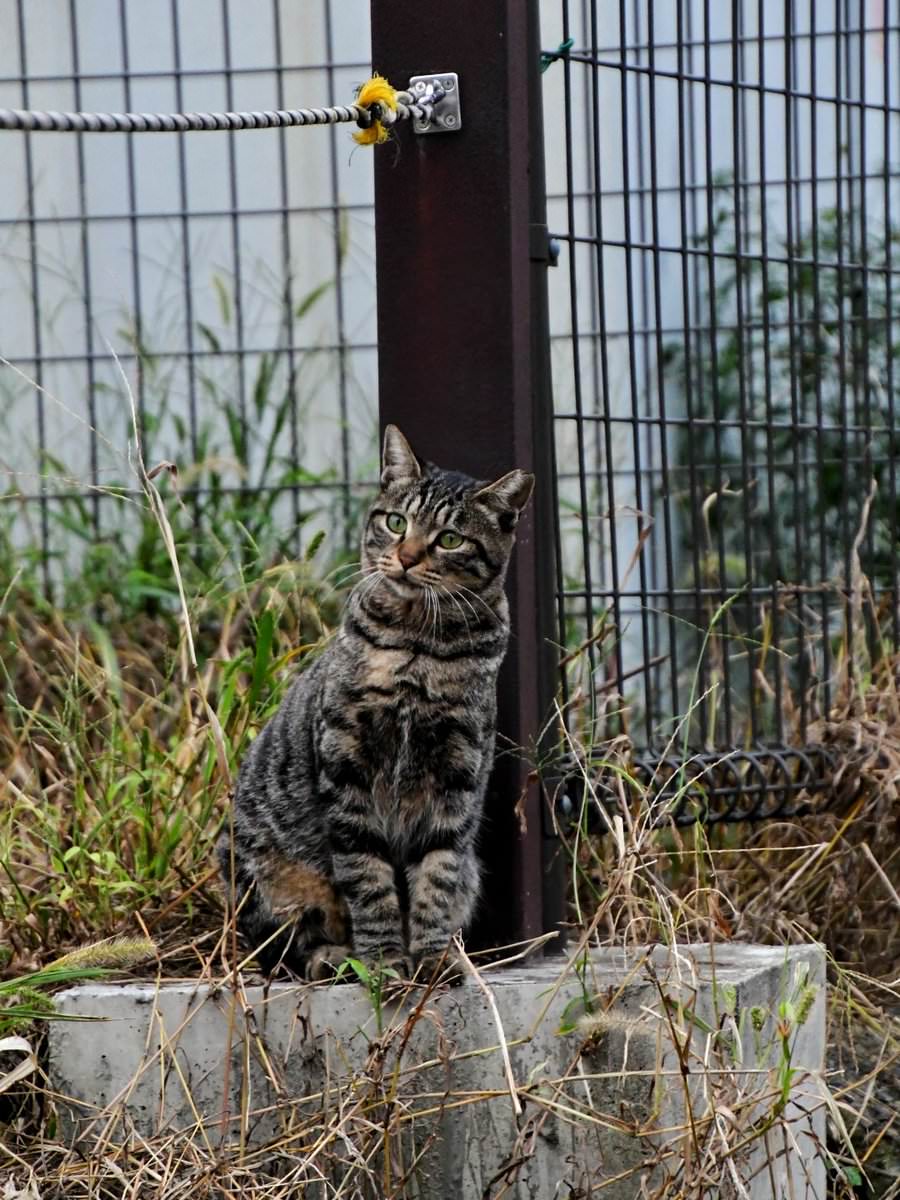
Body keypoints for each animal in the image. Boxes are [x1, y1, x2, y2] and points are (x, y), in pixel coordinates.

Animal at [218, 425, 534, 980]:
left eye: (450, 538)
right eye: (396, 522)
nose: (406, 558)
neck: (419, 647)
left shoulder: (457, 777)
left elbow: (437, 877)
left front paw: (430, 959)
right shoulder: (347, 769)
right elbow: (368, 881)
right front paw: (385, 961)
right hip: (259, 873)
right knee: (284, 943)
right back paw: (334, 958)